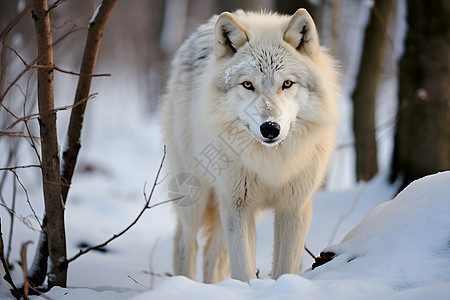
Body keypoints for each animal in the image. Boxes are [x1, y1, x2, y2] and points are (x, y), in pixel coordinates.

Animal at [161, 8, 338, 282]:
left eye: (287, 84)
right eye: (247, 84)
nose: (270, 128)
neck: (271, 162)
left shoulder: (294, 207)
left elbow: (285, 266)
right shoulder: (237, 205)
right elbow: (243, 269)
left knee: (213, 256)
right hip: (195, 197)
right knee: (184, 243)